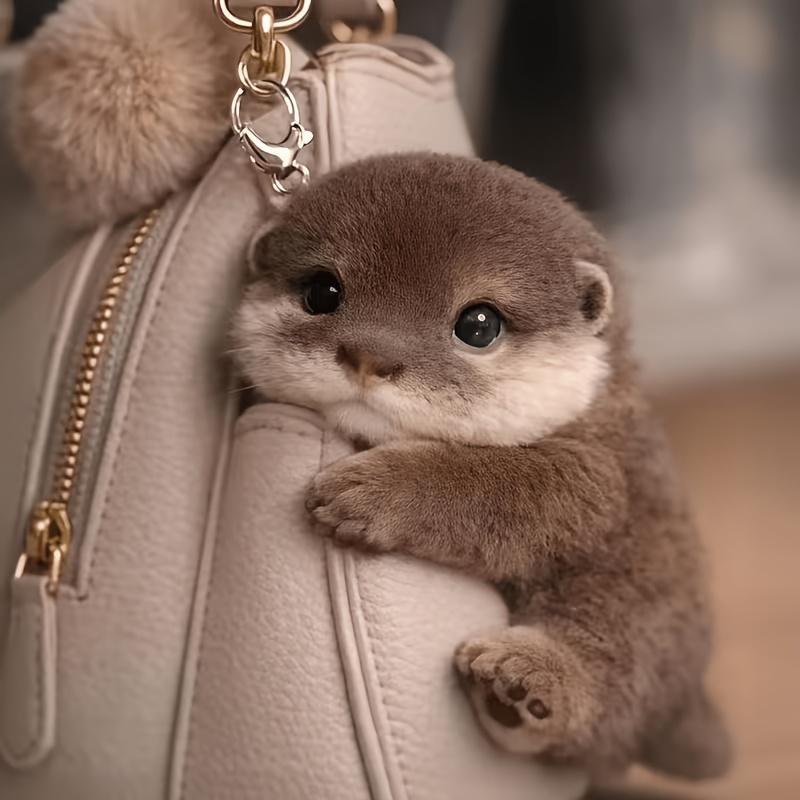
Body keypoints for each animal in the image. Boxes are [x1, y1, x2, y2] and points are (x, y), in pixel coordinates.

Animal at [231, 154, 731, 779]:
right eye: (322, 291)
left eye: (478, 324)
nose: (370, 355)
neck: (590, 399)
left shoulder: (599, 473)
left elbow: (495, 484)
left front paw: (369, 493)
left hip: (644, 606)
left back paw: (527, 684)